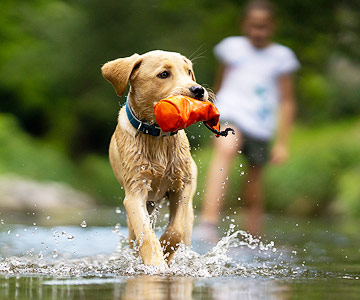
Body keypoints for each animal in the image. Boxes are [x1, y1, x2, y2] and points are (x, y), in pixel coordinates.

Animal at [101, 50, 208, 266]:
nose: (198, 90)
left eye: (189, 72)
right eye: (164, 74)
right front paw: (156, 264)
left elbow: (175, 231)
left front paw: (166, 251)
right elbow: (147, 236)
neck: (157, 136)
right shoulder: (135, 193)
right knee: (135, 238)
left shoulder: (181, 187)